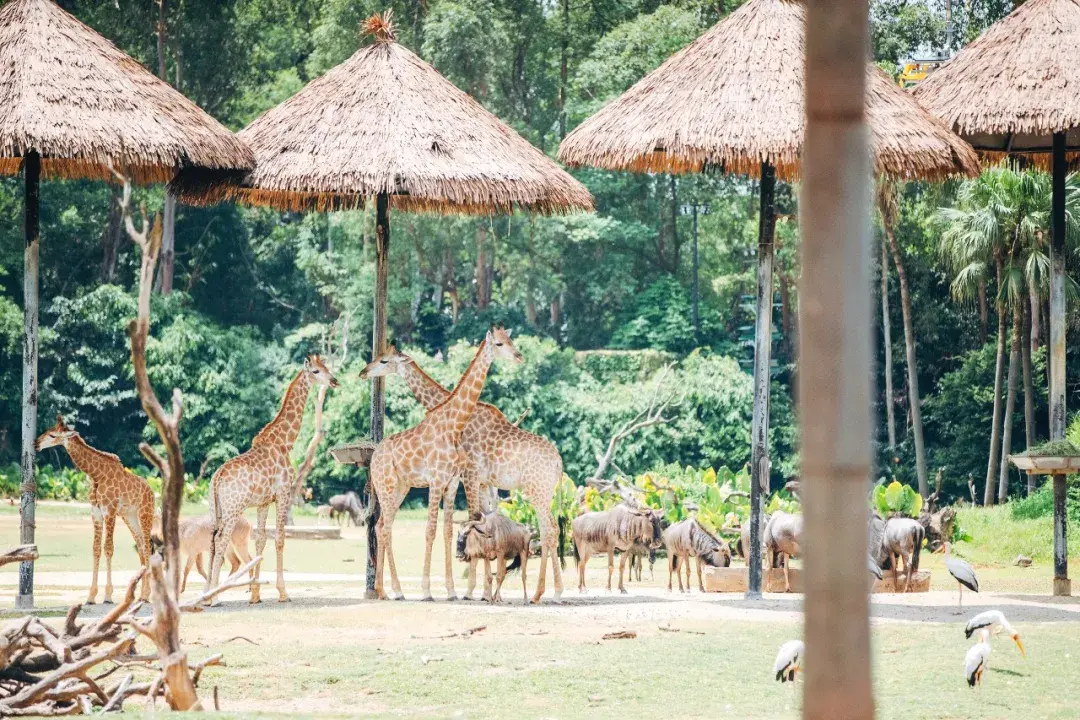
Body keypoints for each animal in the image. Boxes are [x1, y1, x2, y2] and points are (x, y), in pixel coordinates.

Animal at [34, 414, 154, 604]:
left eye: (52, 435)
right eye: (47, 430)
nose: (35, 444)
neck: (97, 475)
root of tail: (151, 491)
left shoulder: (109, 511)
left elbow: (108, 548)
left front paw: (108, 596)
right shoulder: (96, 512)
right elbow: (96, 549)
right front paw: (91, 596)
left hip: (144, 513)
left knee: (147, 546)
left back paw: (145, 595)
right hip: (129, 516)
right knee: (142, 546)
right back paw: (143, 594)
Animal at [203, 354, 336, 604]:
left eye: (327, 366)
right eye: (315, 371)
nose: (334, 380)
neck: (285, 441)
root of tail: (217, 477)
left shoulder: (264, 502)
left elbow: (261, 539)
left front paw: (255, 594)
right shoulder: (283, 493)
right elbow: (280, 538)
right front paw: (283, 592)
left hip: (218, 509)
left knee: (213, 540)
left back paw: (206, 594)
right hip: (234, 508)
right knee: (221, 540)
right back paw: (213, 597)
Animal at [360, 338, 565, 604]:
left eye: (384, 360)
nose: (364, 372)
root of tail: (559, 462)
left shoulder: (468, 475)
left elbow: (473, 520)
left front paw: (473, 590)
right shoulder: (480, 481)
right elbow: (477, 521)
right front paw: (480, 590)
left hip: (537, 491)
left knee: (548, 530)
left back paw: (547, 592)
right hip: (544, 492)